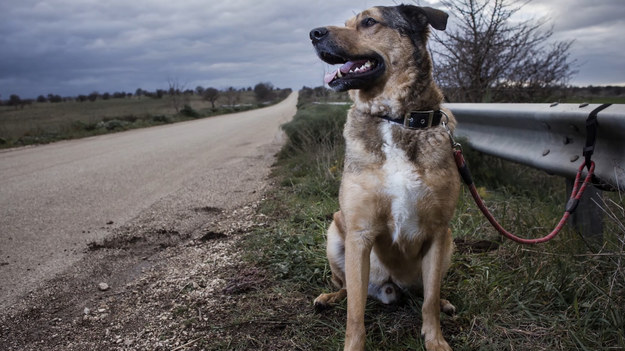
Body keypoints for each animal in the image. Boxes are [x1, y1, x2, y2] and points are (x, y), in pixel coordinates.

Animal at [310, 5, 460, 351]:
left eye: (368, 22)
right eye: (348, 22)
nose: (313, 33)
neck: (395, 119)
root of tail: (393, 287)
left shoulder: (438, 232)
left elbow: (429, 301)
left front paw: (435, 339)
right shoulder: (360, 233)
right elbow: (355, 312)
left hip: (449, 244)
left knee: (426, 292)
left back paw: (444, 301)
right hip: (335, 236)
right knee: (349, 289)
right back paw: (329, 297)